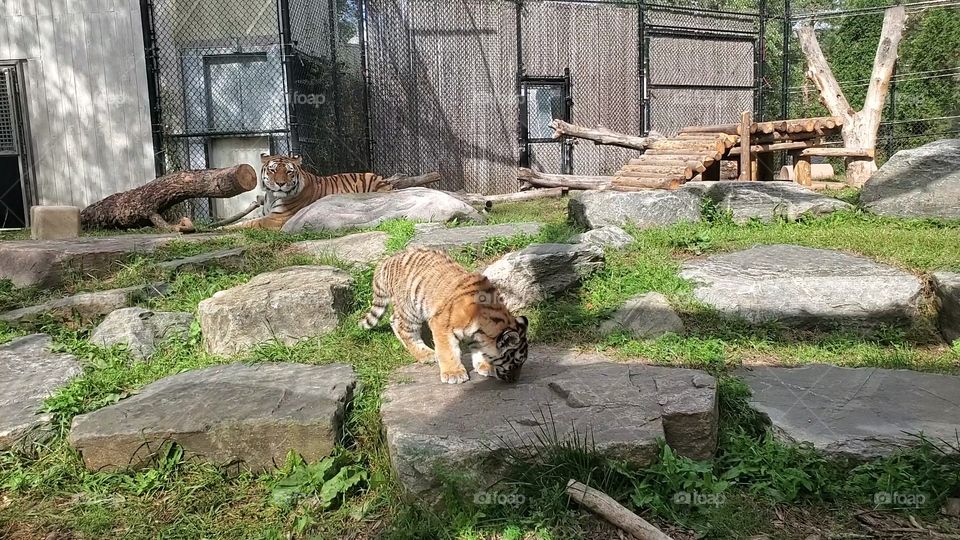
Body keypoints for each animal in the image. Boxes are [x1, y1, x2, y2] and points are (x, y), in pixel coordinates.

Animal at [225, 153, 393, 230]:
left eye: (289, 172)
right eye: (273, 170)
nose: (280, 183)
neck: (271, 196)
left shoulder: (275, 219)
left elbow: (246, 224)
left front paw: (222, 229)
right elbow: (245, 220)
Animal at [360, 247, 529, 384]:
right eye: (516, 362)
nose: (515, 380)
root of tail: (387, 260)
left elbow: (479, 350)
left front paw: (485, 366)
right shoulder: (441, 324)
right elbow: (448, 351)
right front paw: (454, 374)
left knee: (394, 320)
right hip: (410, 308)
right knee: (402, 327)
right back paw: (427, 354)